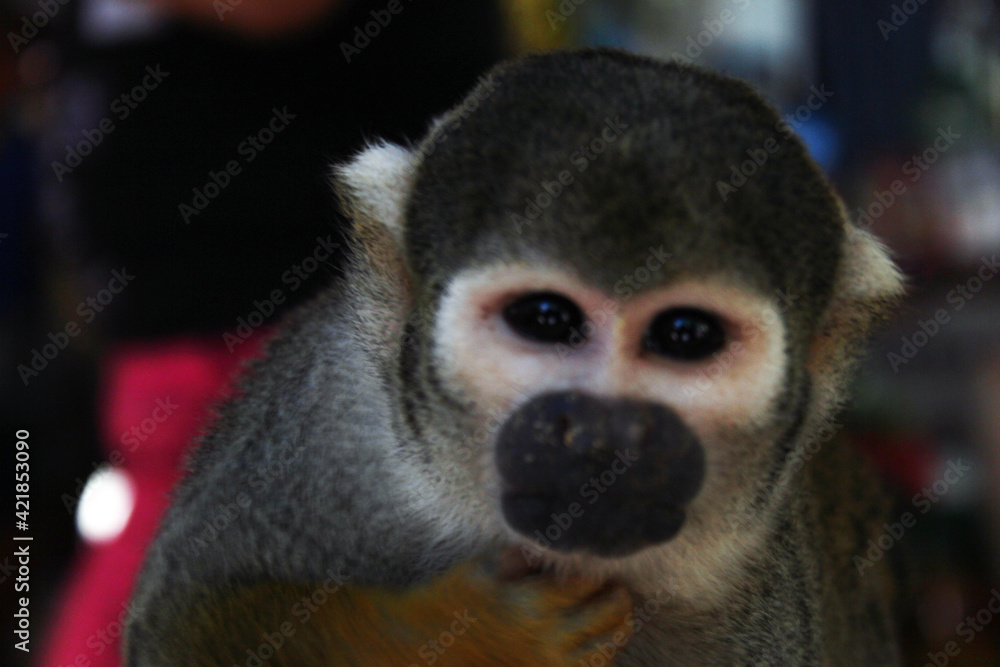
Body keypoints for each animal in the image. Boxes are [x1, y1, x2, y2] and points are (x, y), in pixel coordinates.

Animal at [125, 48, 905, 666]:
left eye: (687, 336)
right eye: (546, 320)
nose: (603, 435)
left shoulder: (759, 607)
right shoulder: (327, 417)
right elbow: (175, 623)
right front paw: (470, 637)